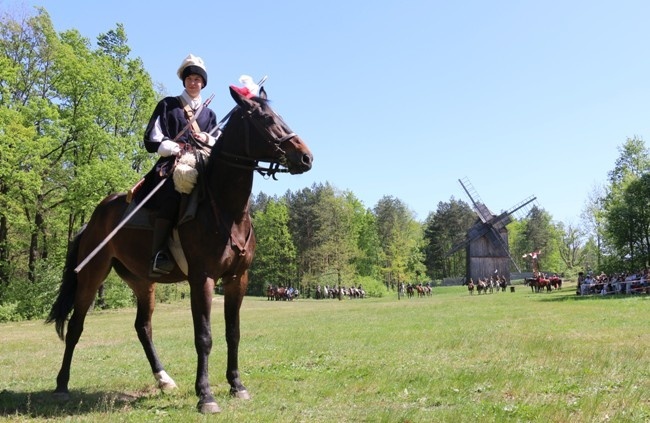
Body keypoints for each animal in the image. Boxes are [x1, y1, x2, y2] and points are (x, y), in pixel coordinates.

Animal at [44, 86, 312, 414]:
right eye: (265, 119)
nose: (305, 156)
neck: (226, 209)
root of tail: (94, 218)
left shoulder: (238, 279)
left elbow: (233, 333)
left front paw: (236, 385)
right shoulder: (202, 279)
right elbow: (204, 336)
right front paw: (206, 395)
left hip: (142, 282)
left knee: (143, 327)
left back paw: (164, 379)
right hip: (92, 276)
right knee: (76, 326)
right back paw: (61, 385)